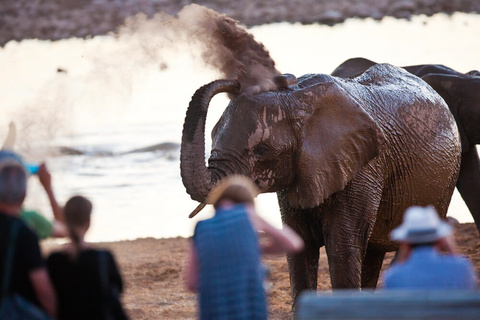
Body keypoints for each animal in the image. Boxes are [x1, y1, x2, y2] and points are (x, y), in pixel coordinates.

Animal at [180, 63, 462, 304]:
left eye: (260, 150)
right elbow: (300, 246)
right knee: (373, 254)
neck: (296, 99)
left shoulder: (364, 168)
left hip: (444, 182)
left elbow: (342, 247)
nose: (238, 82)